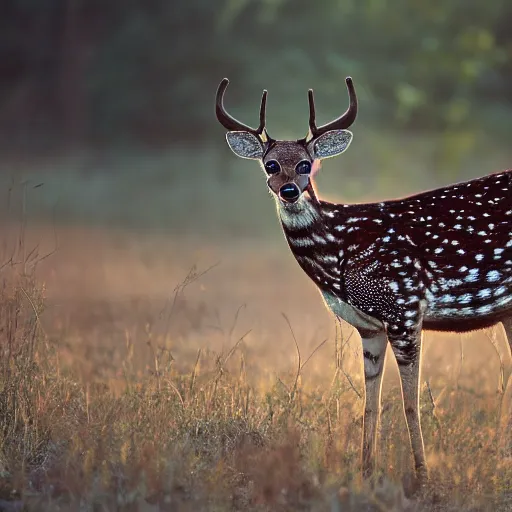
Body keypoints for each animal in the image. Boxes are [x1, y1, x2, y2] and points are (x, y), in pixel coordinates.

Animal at [214, 76, 512, 484]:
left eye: (306, 164)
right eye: (270, 164)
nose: (289, 190)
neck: (339, 253)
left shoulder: (404, 306)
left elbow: (409, 402)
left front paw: (423, 477)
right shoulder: (369, 326)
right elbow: (370, 402)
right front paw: (366, 472)